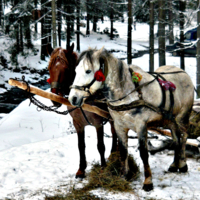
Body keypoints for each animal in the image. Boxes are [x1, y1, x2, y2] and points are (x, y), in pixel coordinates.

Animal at [46, 43, 117, 178]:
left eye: (66, 68)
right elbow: (81, 146)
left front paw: (103, 168)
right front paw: (81, 169)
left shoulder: (98, 123)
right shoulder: (77, 124)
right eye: (49, 68)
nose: (54, 97)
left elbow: (100, 146)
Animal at [68, 47, 194, 191]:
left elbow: (144, 153)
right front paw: (125, 175)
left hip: (182, 117)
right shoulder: (119, 125)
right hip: (170, 120)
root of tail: (183, 72)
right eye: (75, 71)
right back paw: (174, 164)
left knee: (183, 138)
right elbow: (123, 151)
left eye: (88, 71)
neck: (128, 94)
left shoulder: (141, 126)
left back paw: (182, 165)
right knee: (176, 140)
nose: (73, 98)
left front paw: (148, 182)